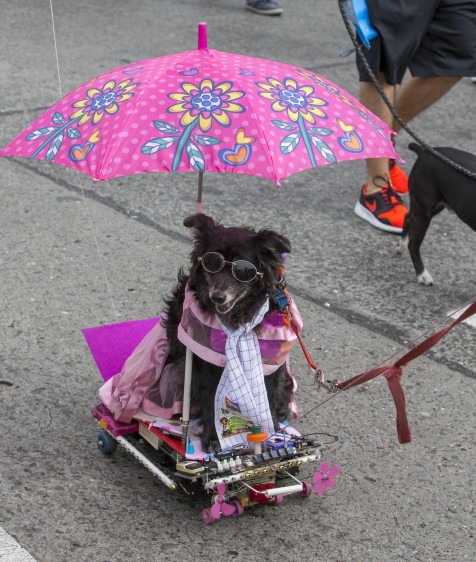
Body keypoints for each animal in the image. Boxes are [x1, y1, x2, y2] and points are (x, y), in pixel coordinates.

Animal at [165, 214, 296, 450]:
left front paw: (271, 430)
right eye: (211, 263)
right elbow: (211, 399)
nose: (217, 296)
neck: (238, 318)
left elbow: (269, 395)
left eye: (244, 270)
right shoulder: (205, 364)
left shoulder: (270, 363)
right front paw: (213, 438)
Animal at [398, 143, 476, 284]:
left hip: (434, 206)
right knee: (414, 245)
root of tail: (425, 151)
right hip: (423, 212)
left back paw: (401, 245)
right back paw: (422, 274)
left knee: (407, 217)